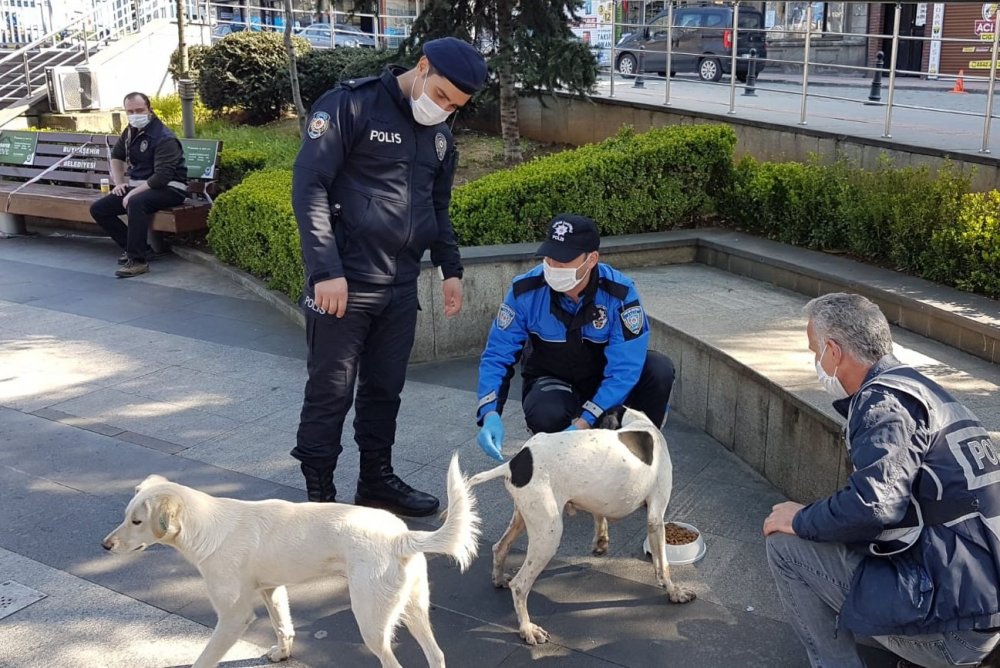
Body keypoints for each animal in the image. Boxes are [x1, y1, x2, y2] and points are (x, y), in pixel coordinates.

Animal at [103, 454, 478, 668]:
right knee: (436, 655)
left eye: (137, 521)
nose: (105, 545)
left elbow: (205, 659)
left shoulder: (235, 617)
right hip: (413, 608)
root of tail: (402, 537)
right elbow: (283, 625)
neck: (209, 526)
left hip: (371, 619)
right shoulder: (272, 590)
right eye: (125, 516)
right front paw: (282, 654)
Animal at [468, 410, 696, 644]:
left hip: (524, 517)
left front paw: (601, 542)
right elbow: (663, 566)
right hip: (548, 534)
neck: (640, 422)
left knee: (500, 547)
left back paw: (498, 579)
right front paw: (674, 592)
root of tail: (514, 463)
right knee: (520, 585)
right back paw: (528, 629)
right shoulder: (655, 518)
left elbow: (599, 516)